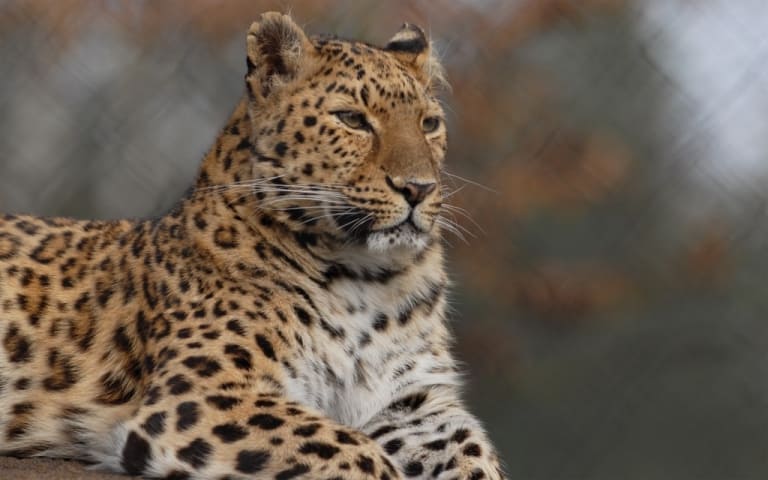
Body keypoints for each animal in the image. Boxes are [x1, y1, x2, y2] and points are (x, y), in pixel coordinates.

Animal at [0, 12, 506, 480]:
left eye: (430, 123)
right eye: (352, 120)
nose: (419, 188)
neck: (366, 276)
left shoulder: (412, 404)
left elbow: (474, 452)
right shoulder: (204, 393)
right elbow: (355, 452)